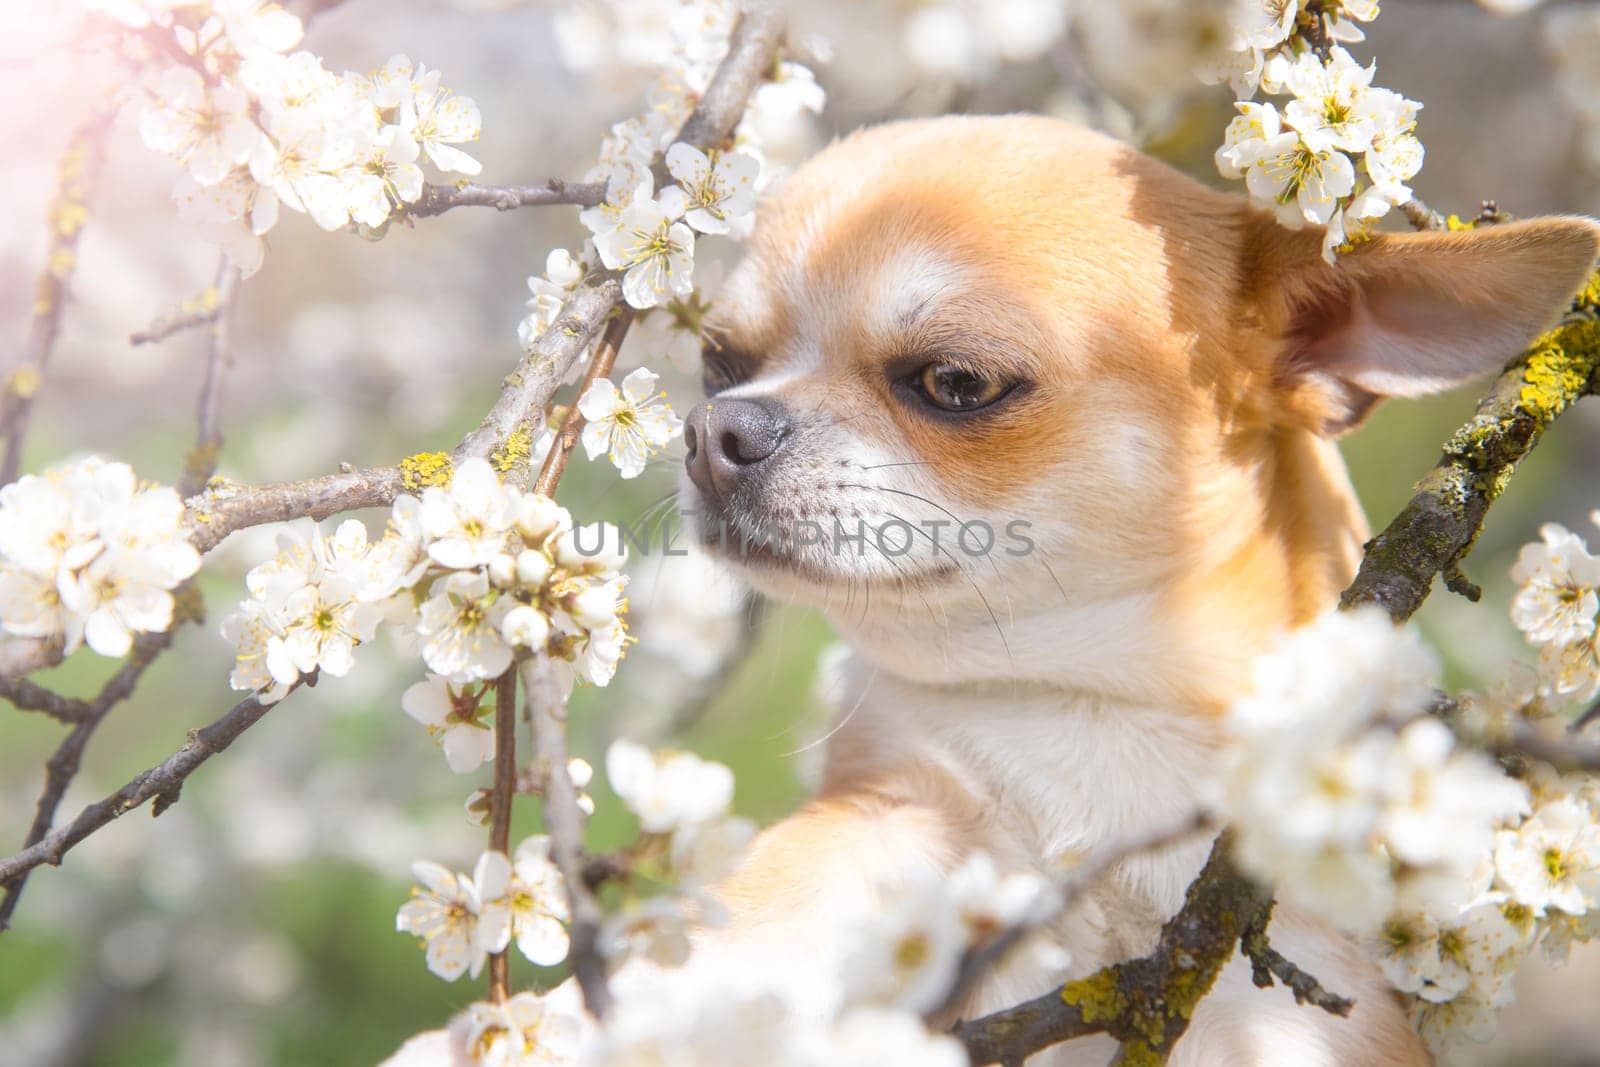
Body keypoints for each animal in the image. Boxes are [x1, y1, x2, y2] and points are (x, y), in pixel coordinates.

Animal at [675, 112, 1600, 1062]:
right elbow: (761, 912)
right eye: (718, 363)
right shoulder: (901, 822)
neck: (1090, 700)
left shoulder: (1291, 994)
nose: (714, 429)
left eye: (957, 382)